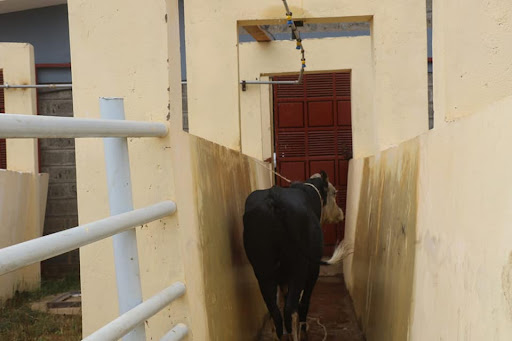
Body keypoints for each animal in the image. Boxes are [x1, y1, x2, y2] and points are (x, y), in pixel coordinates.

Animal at [243, 171, 348, 338]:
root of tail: (274, 197)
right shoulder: (313, 270)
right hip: (298, 269)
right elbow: (304, 302)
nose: (341, 212)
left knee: (276, 314)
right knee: (290, 311)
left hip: (263, 272)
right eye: (334, 193)